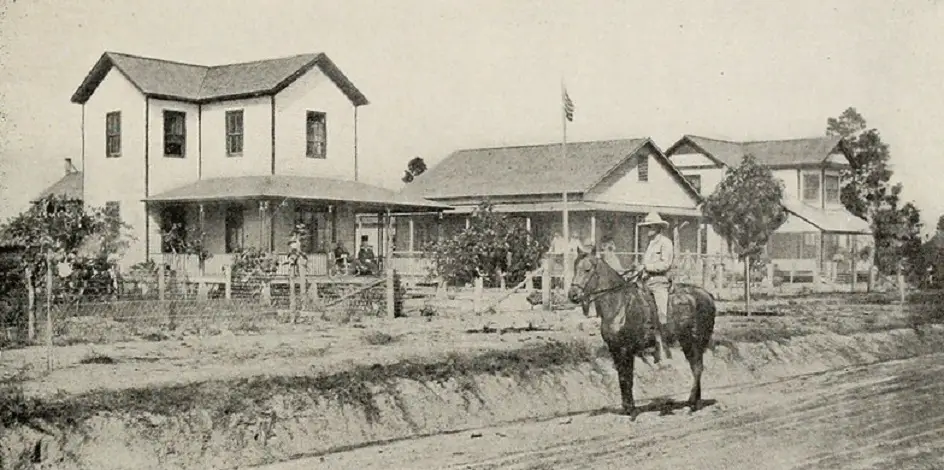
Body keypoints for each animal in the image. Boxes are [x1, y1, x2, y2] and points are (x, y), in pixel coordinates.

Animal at [568, 246, 716, 418]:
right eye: (575, 267)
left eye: (587, 269)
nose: (573, 295)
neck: (619, 304)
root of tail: (707, 295)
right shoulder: (614, 349)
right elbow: (621, 377)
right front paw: (626, 407)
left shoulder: (626, 349)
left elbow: (627, 377)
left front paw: (631, 410)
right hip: (687, 341)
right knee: (695, 366)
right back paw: (695, 402)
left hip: (696, 339)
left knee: (698, 368)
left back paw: (691, 405)